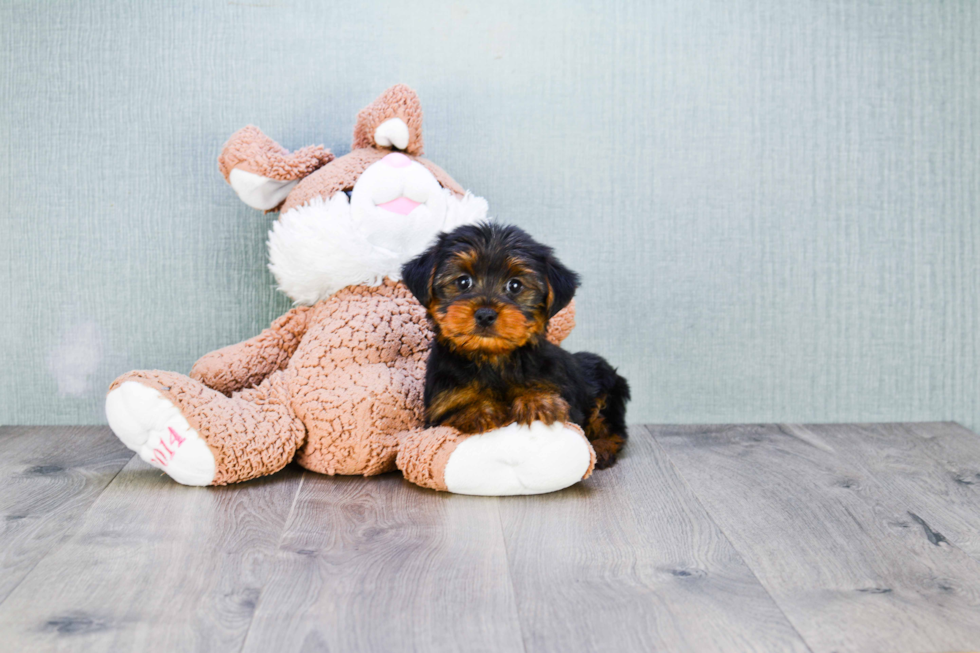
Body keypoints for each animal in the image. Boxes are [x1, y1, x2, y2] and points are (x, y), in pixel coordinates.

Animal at [402, 222, 632, 466]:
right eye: (463, 281)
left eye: (515, 285)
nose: (485, 314)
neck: (492, 358)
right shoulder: (440, 405)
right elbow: (454, 413)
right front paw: (478, 410)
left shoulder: (563, 396)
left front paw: (537, 401)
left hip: (607, 387)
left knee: (610, 426)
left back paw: (603, 447)